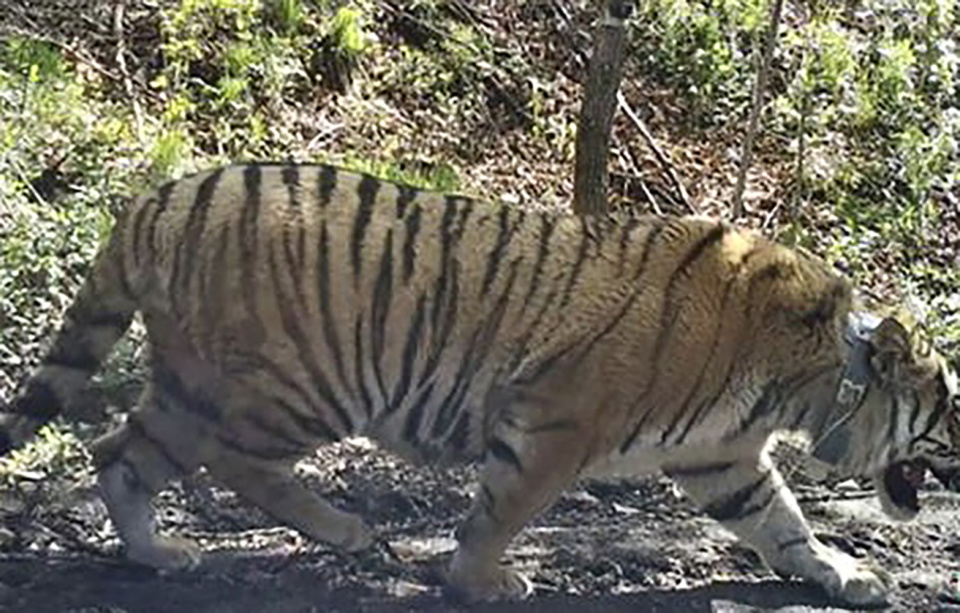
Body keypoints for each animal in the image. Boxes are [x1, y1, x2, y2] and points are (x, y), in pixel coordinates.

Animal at [1, 162, 959, 606]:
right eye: (948, 407)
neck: (811, 378)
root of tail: (155, 200)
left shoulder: (721, 456)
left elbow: (783, 525)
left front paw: (847, 574)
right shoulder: (556, 422)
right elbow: (504, 507)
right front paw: (478, 580)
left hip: (195, 383)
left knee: (117, 448)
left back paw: (155, 552)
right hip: (294, 385)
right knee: (221, 460)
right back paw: (343, 530)